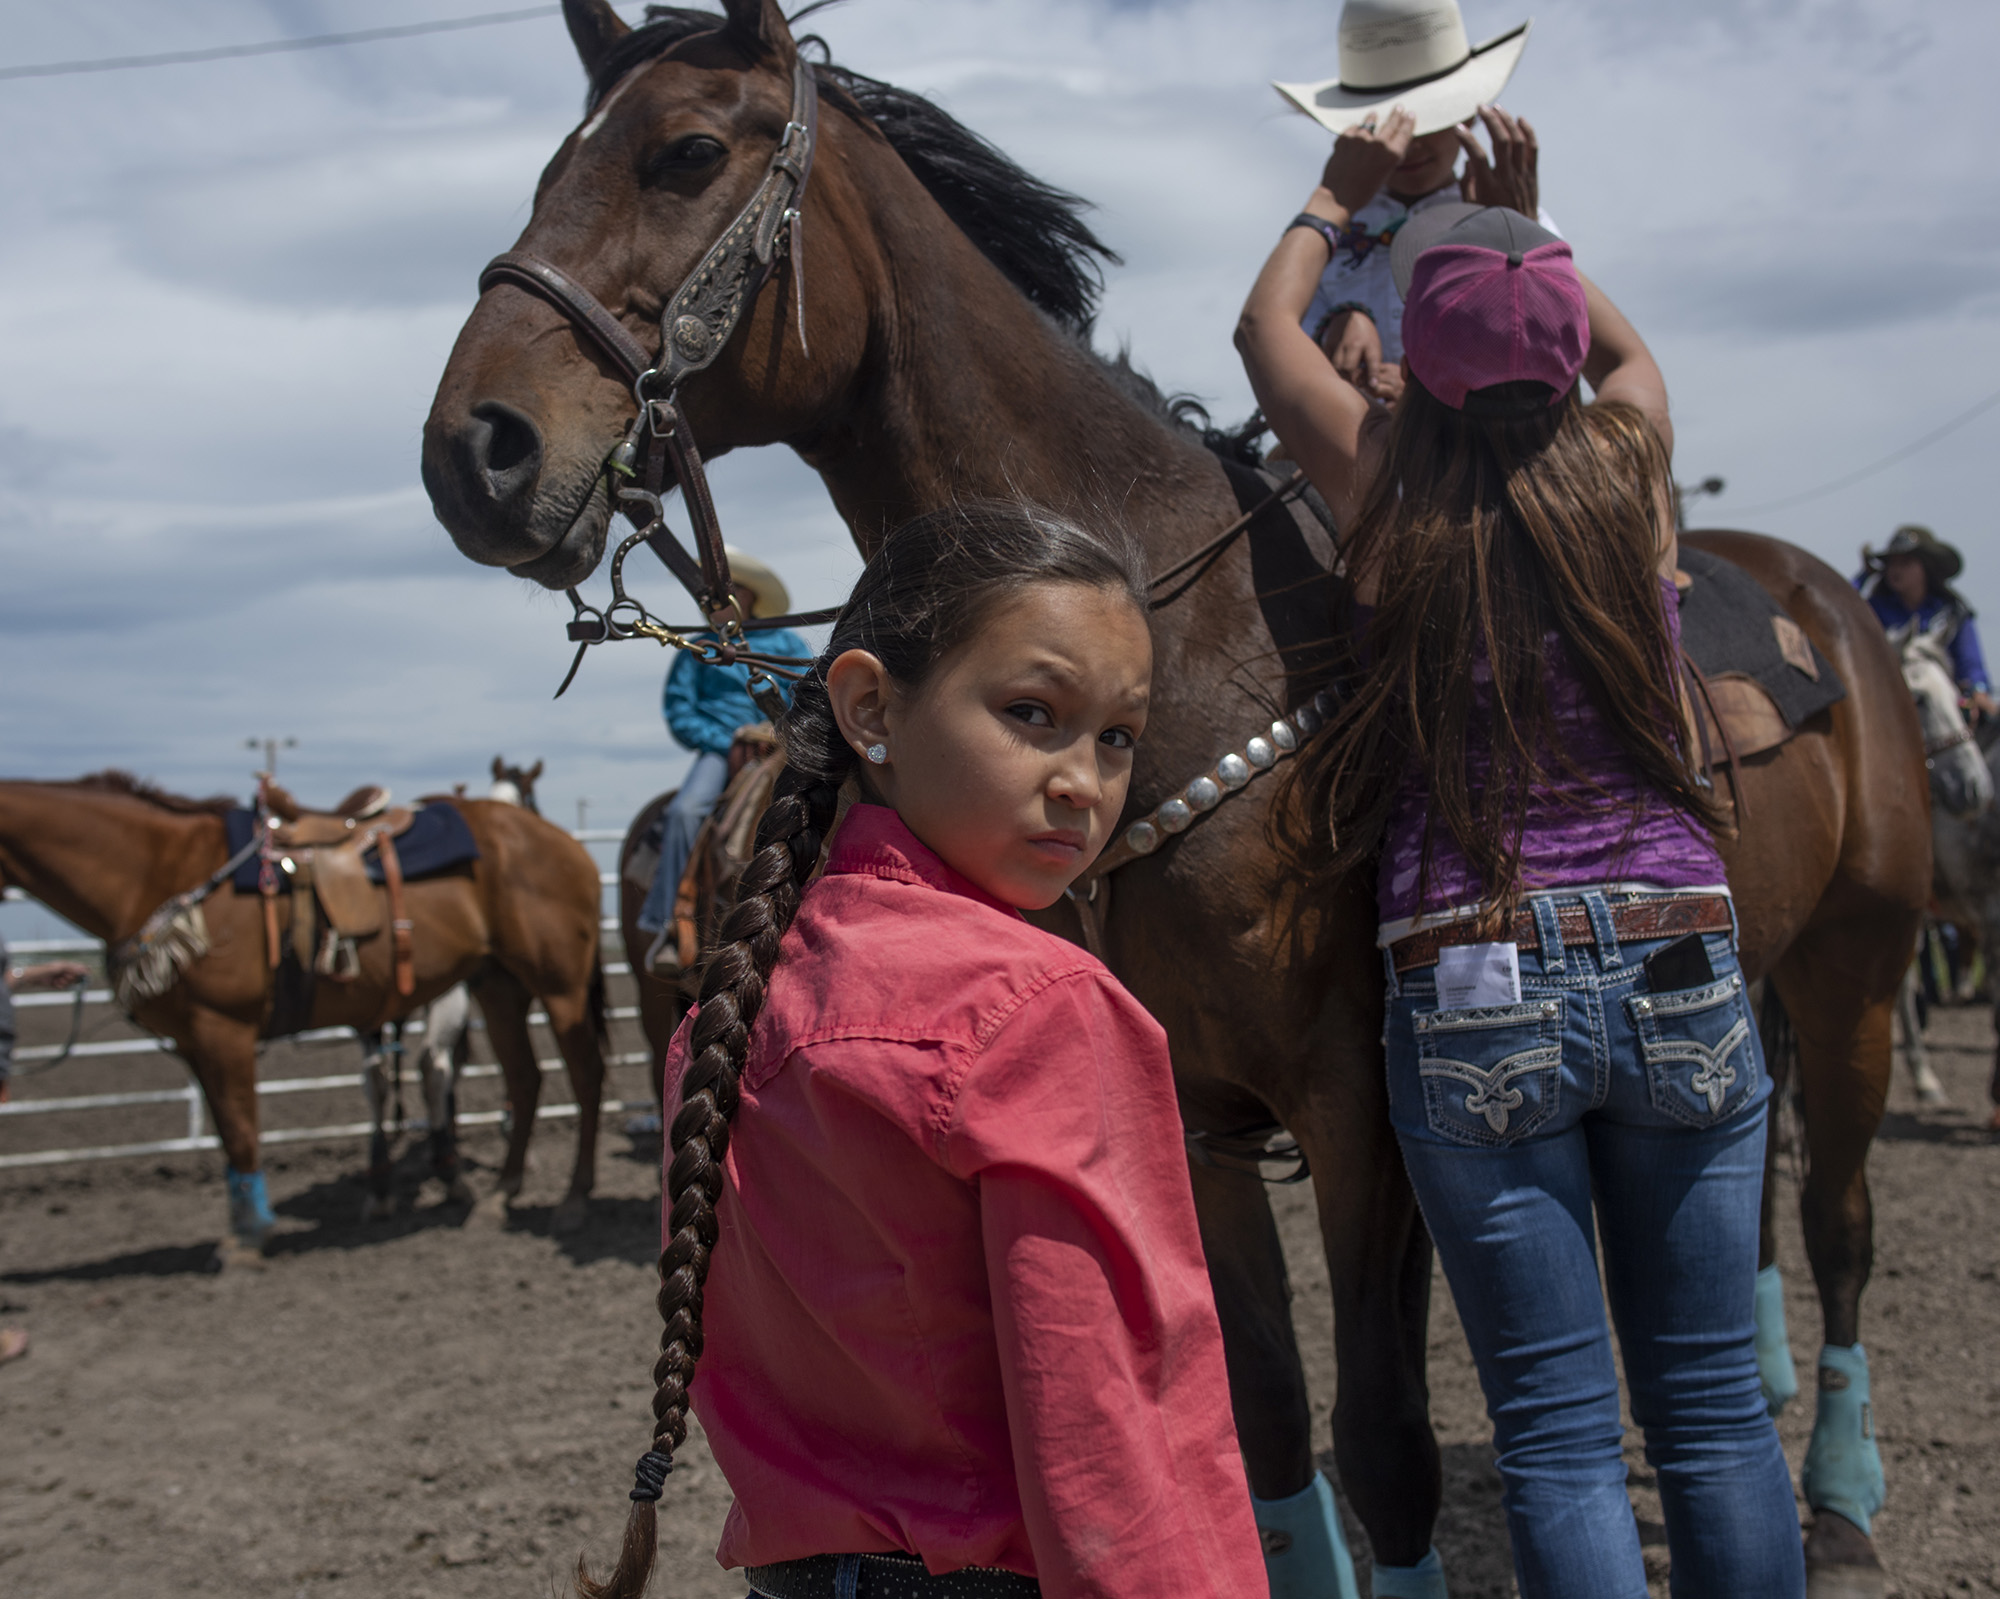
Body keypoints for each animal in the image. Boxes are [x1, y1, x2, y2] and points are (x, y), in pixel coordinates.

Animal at [0, 779, 608, 1263]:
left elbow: (241, 1130)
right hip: (497, 984)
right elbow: (230, 1131)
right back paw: (500, 1193)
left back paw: (573, 1199)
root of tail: (561, 840)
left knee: (583, 1076)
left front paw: (248, 1238)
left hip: (559, 986)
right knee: (524, 1078)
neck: (161, 868)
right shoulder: (196, 1040)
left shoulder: (224, 1028)